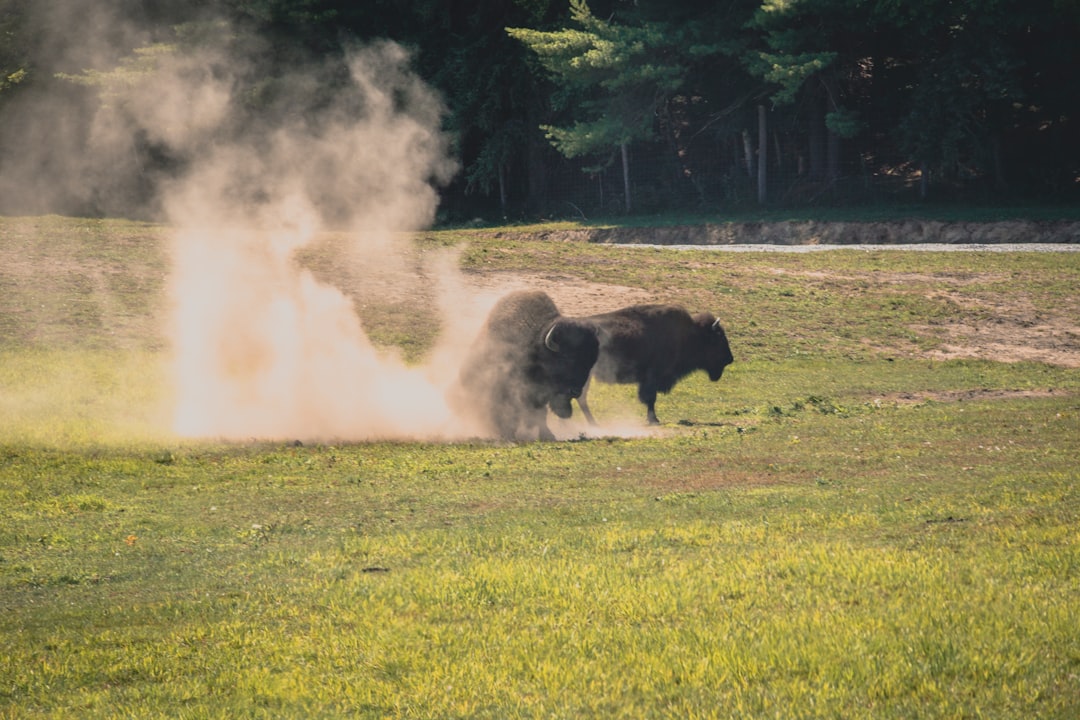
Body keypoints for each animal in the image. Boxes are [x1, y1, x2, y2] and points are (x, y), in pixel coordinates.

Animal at [449, 289, 600, 442]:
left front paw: (547, 435)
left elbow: (540, 413)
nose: (576, 391)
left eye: (591, 362)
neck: (536, 344)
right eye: (565, 358)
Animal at [574, 302, 734, 425]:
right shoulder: (652, 378)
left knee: (580, 397)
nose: (729, 359)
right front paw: (654, 420)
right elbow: (650, 398)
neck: (689, 334)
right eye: (718, 338)